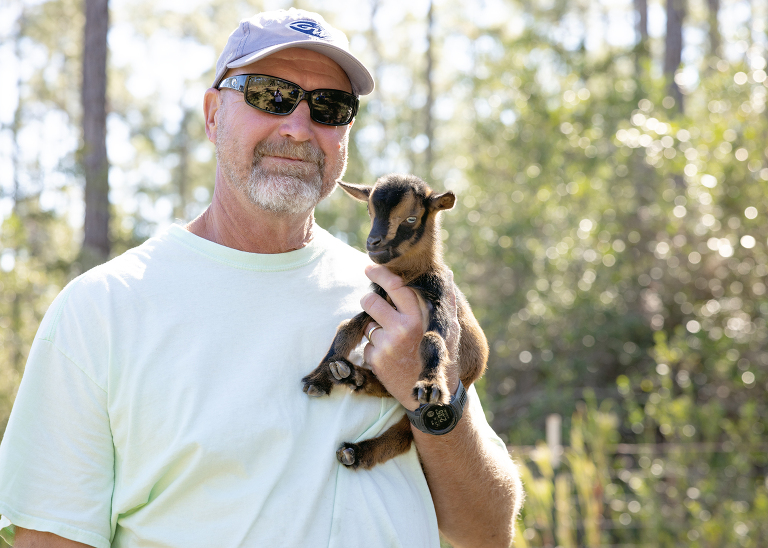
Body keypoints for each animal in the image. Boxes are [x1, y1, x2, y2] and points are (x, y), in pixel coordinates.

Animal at [302, 173, 489, 469]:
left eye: (411, 218)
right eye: (369, 211)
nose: (373, 243)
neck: (410, 276)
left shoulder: (438, 299)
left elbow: (432, 338)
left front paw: (430, 384)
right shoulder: (377, 301)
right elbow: (347, 328)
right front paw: (318, 378)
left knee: (403, 435)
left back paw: (356, 451)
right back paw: (350, 375)